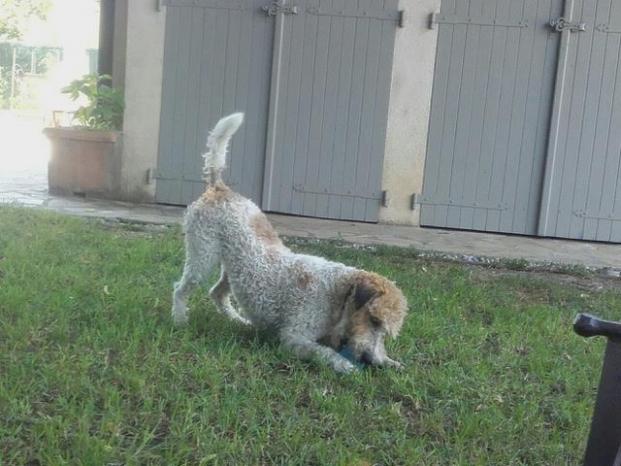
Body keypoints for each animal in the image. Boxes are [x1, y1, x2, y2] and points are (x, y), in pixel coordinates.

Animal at [172, 114, 410, 374]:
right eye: (374, 319)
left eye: (384, 329)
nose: (369, 359)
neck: (336, 291)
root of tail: (219, 187)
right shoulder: (294, 336)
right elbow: (324, 353)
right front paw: (346, 366)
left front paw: (391, 362)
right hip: (202, 257)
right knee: (181, 289)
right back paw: (179, 320)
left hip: (231, 270)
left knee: (217, 294)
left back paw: (239, 321)